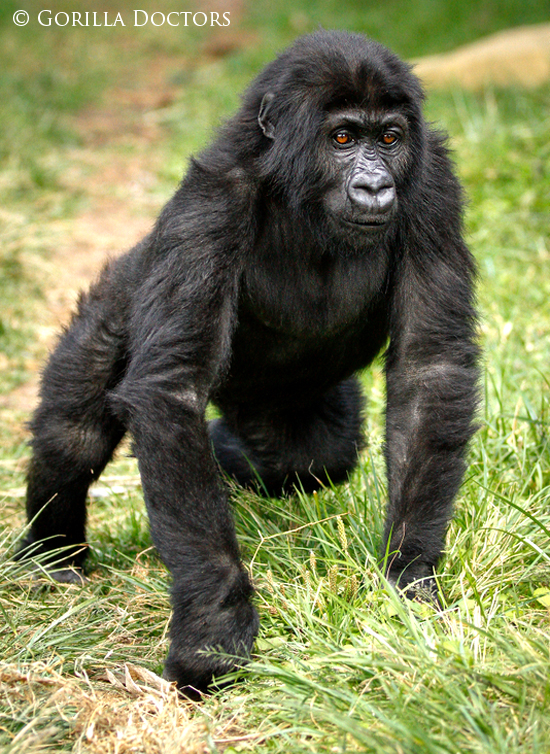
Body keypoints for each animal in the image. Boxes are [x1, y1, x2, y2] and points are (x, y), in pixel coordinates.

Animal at [19, 33, 480, 692]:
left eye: (389, 139)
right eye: (343, 138)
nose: (374, 186)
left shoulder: (432, 187)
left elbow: (429, 368)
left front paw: (410, 575)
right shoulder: (213, 202)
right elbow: (174, 389)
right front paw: (215, 628)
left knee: (307, 456)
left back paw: (230, 450)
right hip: (119, 294)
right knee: (73, 433)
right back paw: (51, 554)